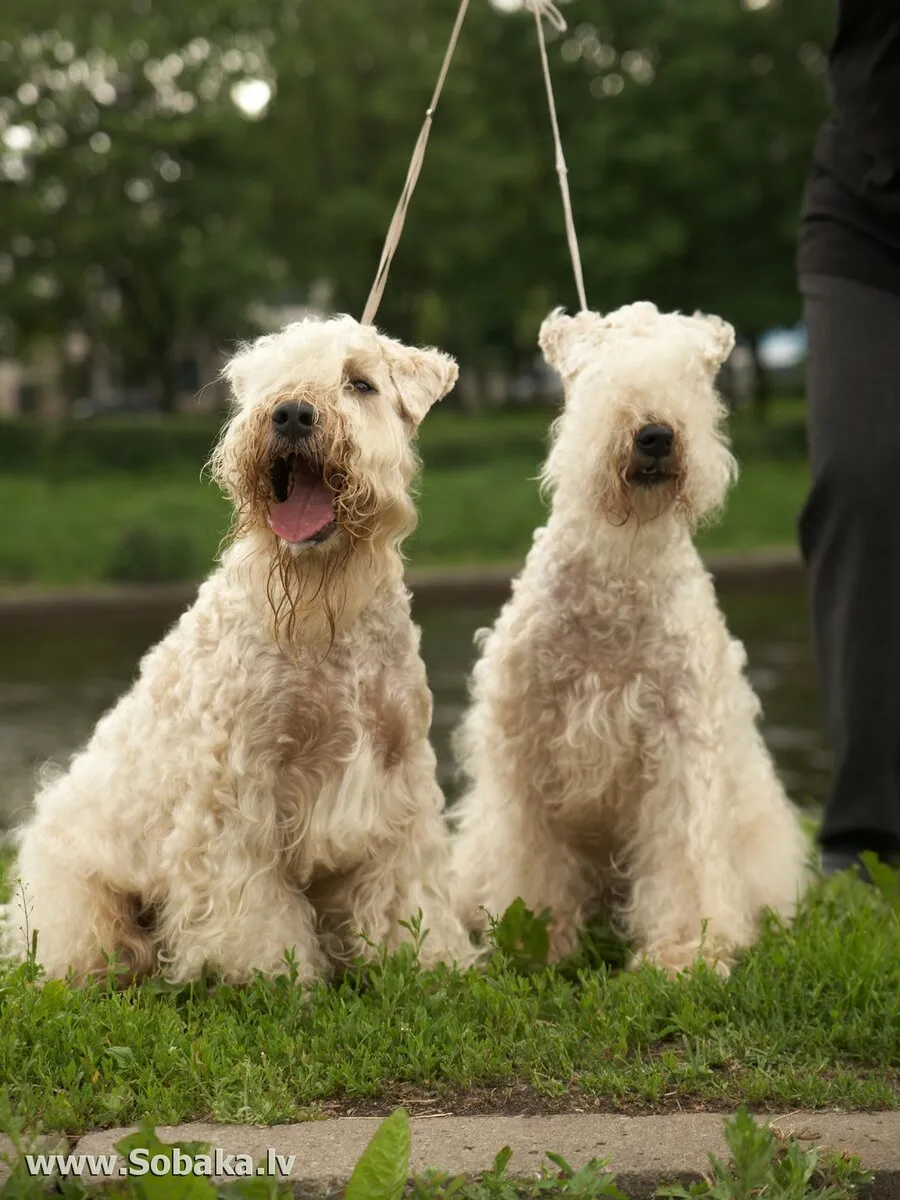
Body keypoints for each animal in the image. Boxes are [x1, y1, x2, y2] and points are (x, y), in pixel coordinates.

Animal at [1, 312, 480, 984]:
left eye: (360, 383)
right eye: (270, 380)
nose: (292, 414)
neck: (324, 616)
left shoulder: (398, 776)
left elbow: (405, 891)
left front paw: (426, 959)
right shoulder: (234, 788)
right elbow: (249, 904)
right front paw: (267, 973)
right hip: (78, 888)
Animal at [453, 304, 816, 979]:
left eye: (691, 374)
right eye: (597, 372)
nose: (655, 434)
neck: (615, 581)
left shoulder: (679, 743)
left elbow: (685, 860)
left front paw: (685, 952)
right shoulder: (527, 743)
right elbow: (527, 859)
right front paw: (534, 942)